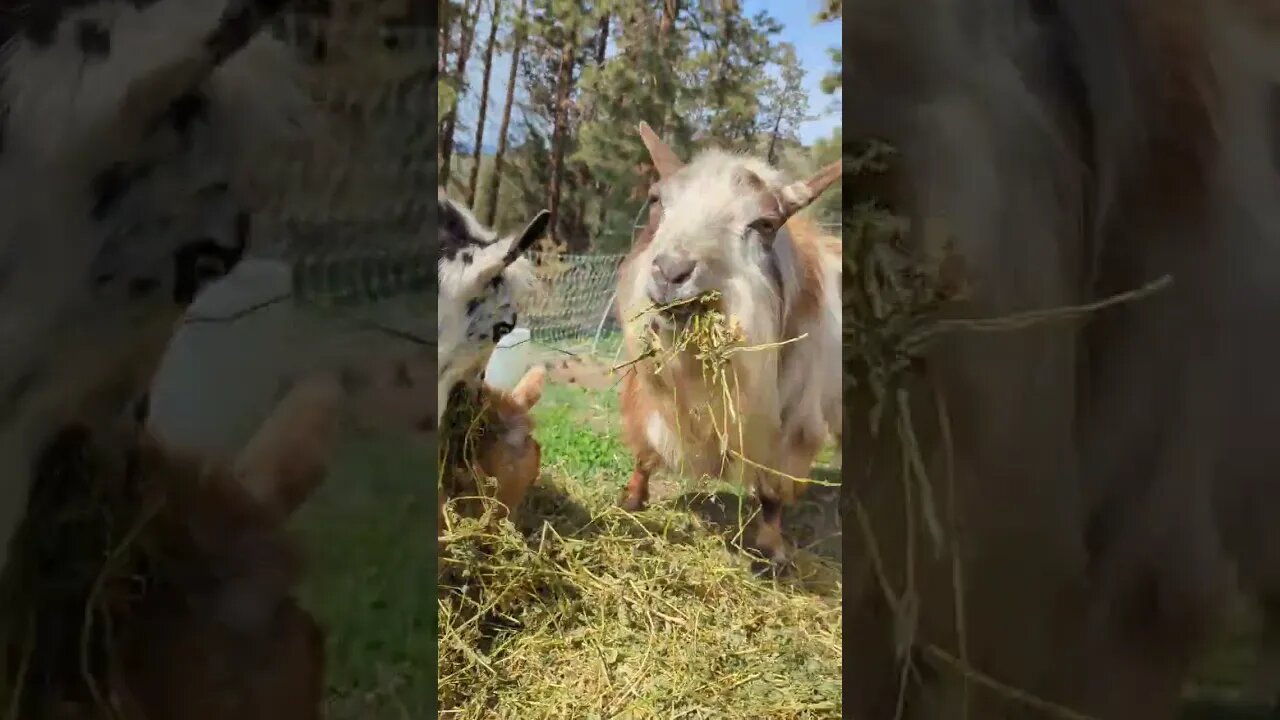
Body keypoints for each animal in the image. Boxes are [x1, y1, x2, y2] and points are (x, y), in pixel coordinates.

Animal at [614, 123, 841, 566]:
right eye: (657, 199)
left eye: (765, 224)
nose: (671, 272)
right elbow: (645, 452)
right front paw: (631, 499)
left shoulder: (795, 422)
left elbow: (773, 491)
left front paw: (770, 551)